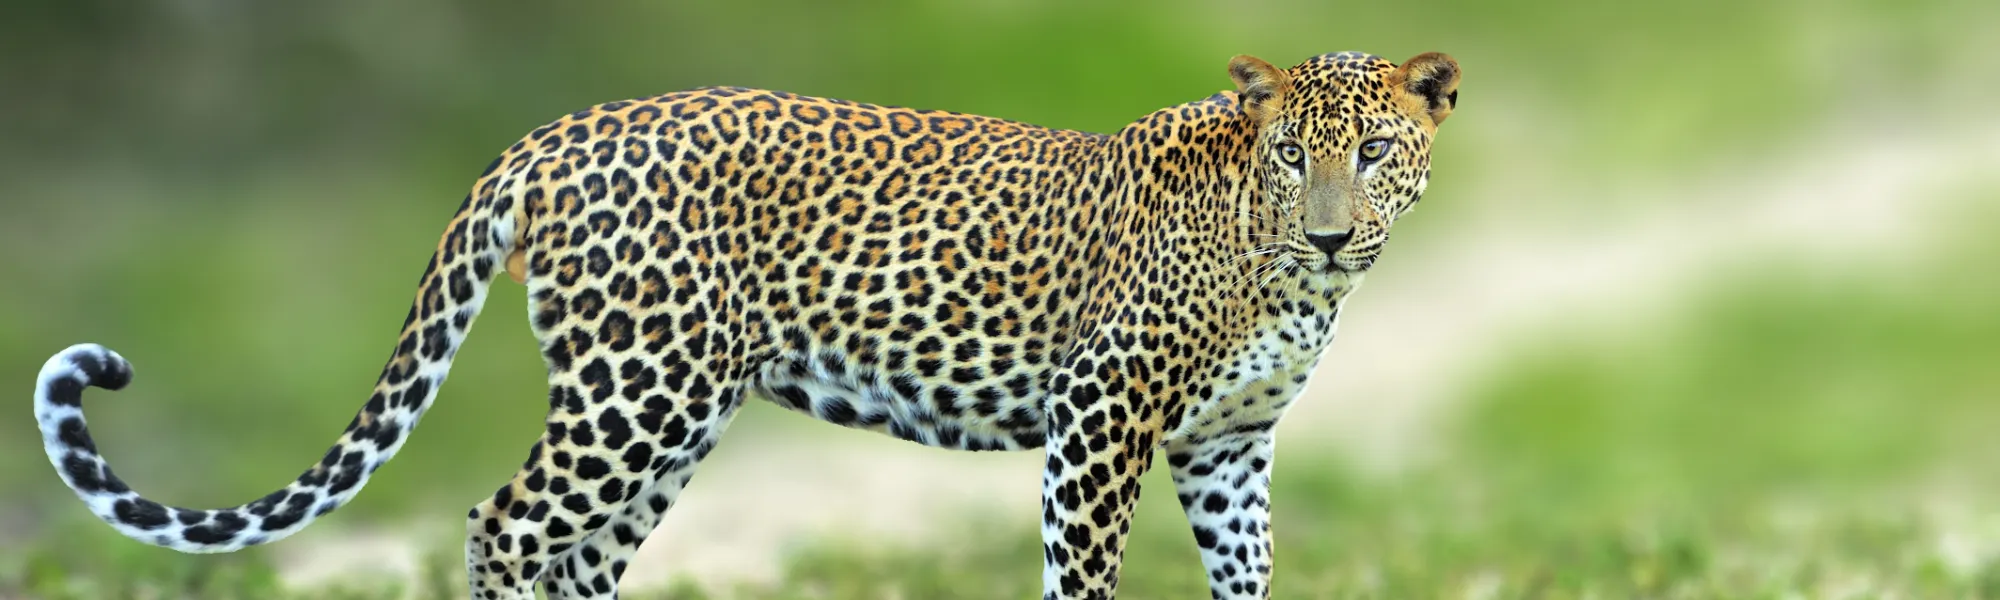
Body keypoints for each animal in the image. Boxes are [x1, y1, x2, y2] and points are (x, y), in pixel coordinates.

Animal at [35, 51, 1456, 600]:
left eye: (1374, 153)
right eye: (1291, 157)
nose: (1330, 234)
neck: (1294, 283)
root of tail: (550, 135)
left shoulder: (1227, 447)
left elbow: (1246, 572)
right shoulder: (1098, 417)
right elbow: (1083, 575)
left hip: (670, 417)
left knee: (578, 554)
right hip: (634, 394)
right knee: (505, 523)